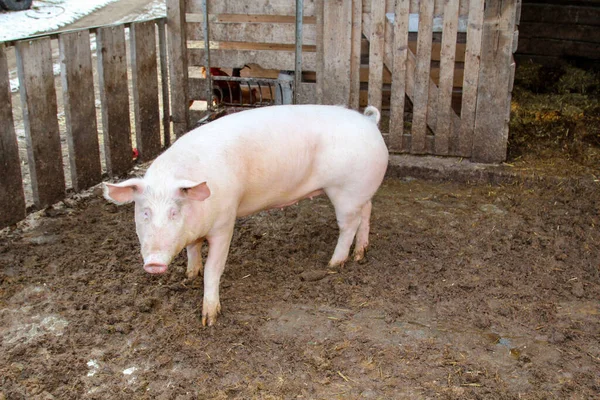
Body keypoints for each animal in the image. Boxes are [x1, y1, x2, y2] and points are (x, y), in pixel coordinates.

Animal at [103, 104, 390, 326]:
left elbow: (213, 269)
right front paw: (189, 275)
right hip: (361, 192)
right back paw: (360, 254)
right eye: (145, 212)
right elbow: (193, 250)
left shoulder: (224, 223)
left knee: (349, 225)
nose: (153, 263)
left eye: (174, 212)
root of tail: (370, 122)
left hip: (346, 191)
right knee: (367, 212)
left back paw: (334, 263)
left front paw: (209, 319)